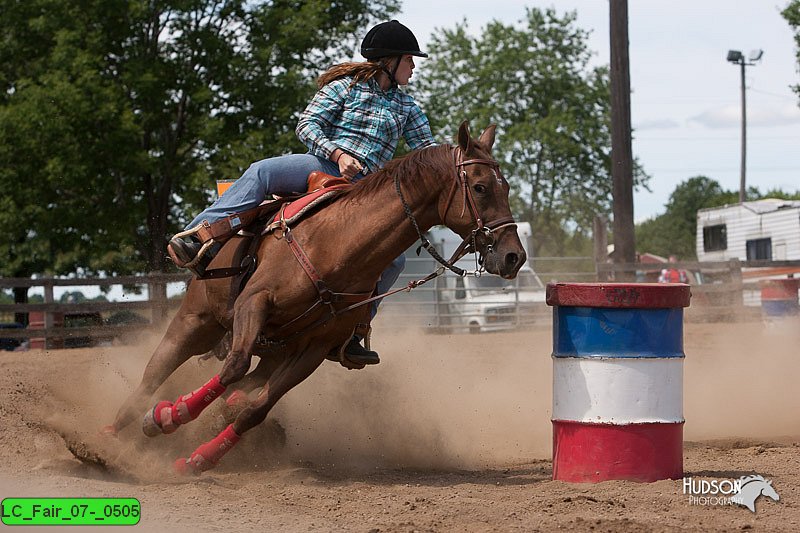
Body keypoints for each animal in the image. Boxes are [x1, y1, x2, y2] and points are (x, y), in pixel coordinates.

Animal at [103, 121, 524, 474]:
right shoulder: (253, 304)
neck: (336, 245)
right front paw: (170, 416)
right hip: (196, 322)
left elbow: (255, 410)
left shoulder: (314, 349)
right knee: (153, 376)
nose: (513, 256)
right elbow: (232, 368)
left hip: (273, 350)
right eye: (481, 187)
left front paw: (199, 458)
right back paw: (108, 437)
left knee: (244, 389)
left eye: (505, 186)